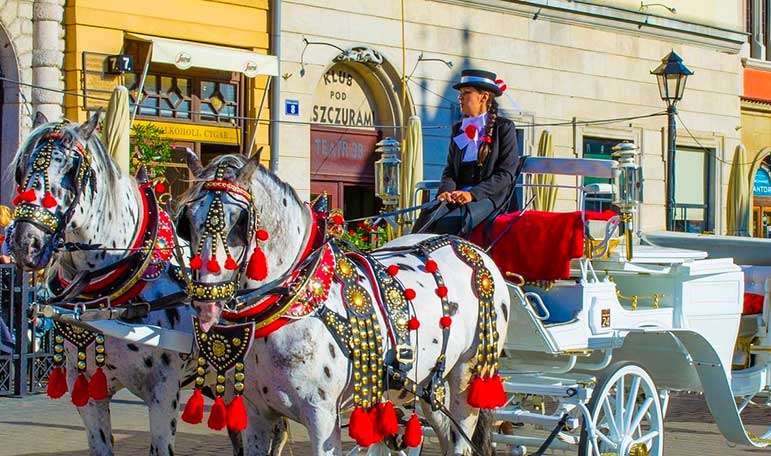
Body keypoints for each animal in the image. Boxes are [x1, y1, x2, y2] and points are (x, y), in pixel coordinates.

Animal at [177, 152, 512, 456]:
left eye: (239, 221)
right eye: (187, 220)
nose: (206, 302)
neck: (291, 304)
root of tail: (472, 249)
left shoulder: (322, 416)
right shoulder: (257, 413)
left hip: (468, 377)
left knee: (461, 441)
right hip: (429, 386)